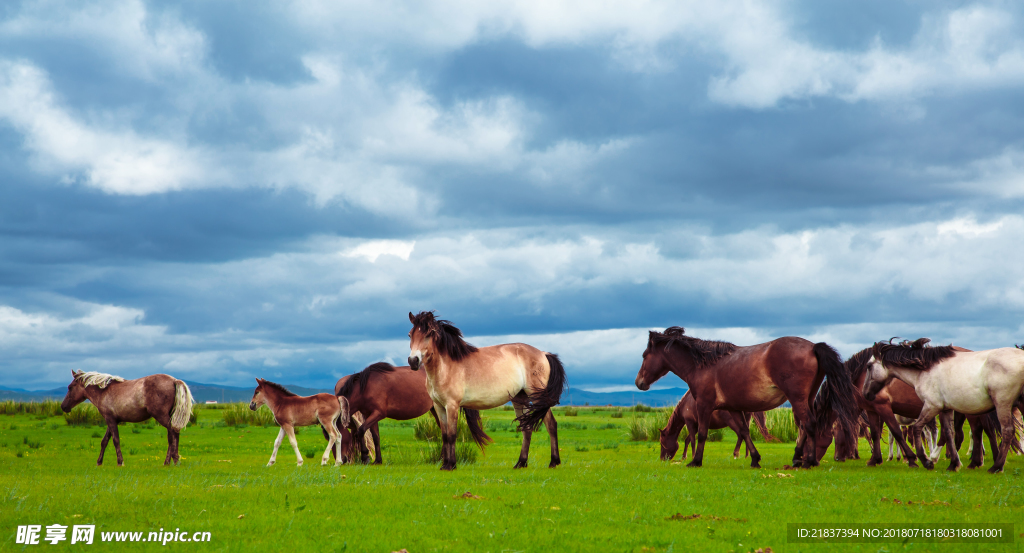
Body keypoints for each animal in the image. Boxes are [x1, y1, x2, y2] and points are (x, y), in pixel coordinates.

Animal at [60, 370, 195, 466]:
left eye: (70, 387)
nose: (63, 406)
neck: (103, 391)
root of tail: (174, 380)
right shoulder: (113, 420)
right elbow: (104, 441)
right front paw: (99, 462)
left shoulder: (110, 420)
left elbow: (115, 440)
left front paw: (120, 462)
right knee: (174, 434)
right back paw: (172, 460)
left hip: (161, 416)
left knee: (172, 435)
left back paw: (171, 460)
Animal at [407, 311, 569, 471]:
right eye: (410, 334)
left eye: (428, 334)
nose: (413, 361)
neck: (446, 367)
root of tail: (543, 353)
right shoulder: (439, 406)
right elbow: (445, 435)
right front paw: (445, 464)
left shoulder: (452, 405)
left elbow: (452, 435)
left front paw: (451, 465)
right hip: (519, 398)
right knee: (526, 428)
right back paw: (521, 463)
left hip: (538, 397)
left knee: (551, 424)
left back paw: (554, 462)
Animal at [630, 325, 856, 469]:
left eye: (644, 355)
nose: (639, 382)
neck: (703, 365)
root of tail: (812, 346)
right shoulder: (733, 409)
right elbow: (744, 432)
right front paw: (755, 459)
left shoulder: (704, 406)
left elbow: (701, 434)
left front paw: (696, 461)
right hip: (805, 399)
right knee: (803, 427)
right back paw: (798, 459)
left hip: (797, 399)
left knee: (808, 424)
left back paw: (808, 461)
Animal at [864, 339, 1024, 473]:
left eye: (869, 366)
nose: (866, 394)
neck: (924, 370)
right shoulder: (946, 409)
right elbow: (949, 433)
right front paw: (953, 464)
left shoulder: (931, 406)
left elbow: (917, 428)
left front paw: (926, 460)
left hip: (1002, 404)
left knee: (1007, 430)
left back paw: (996, 466)